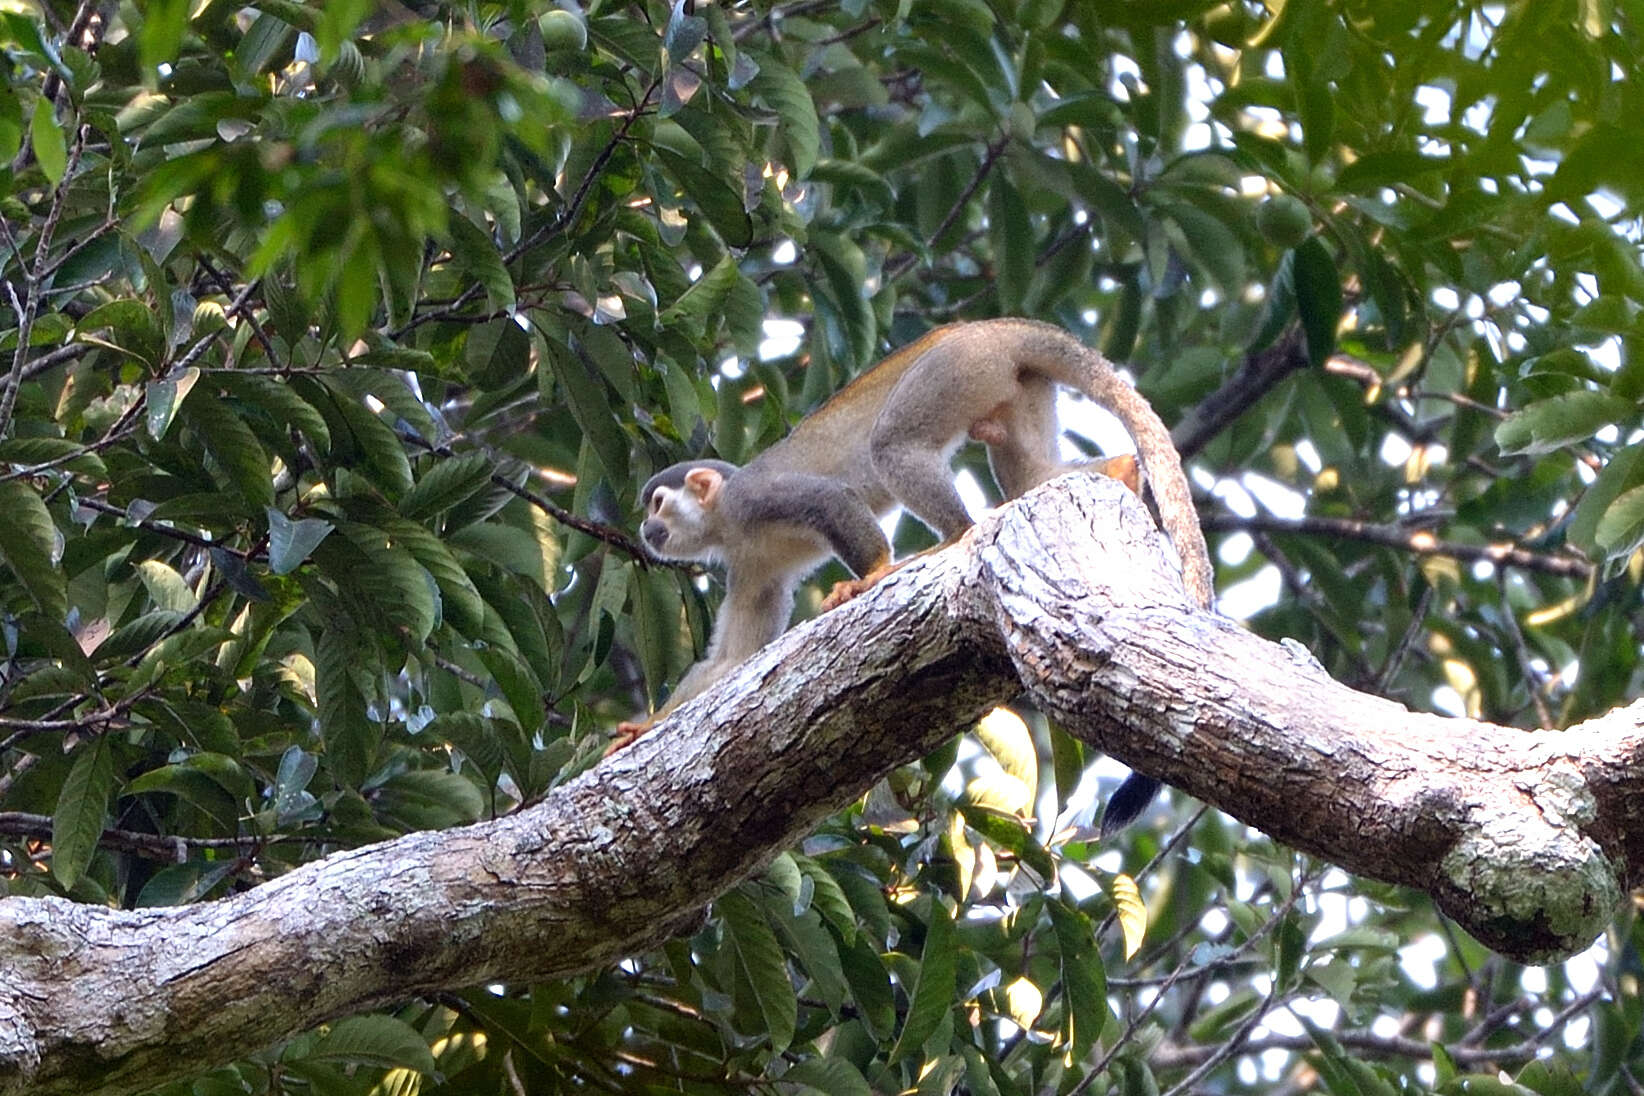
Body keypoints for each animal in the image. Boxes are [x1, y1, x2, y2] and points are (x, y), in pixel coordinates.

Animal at [611, 318, 1216, 831]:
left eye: (658, 504)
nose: (646, 528)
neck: (725, 523)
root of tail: (992, 326)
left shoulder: (751, 499)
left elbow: (832, 498)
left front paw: (872, 574)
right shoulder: (748, 561)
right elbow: (731, 661)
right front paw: (647, 727)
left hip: (951, 370)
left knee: (892, 443)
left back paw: (952, 536)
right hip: (1012, 380)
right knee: (1026, 470)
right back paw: (1122, 470)